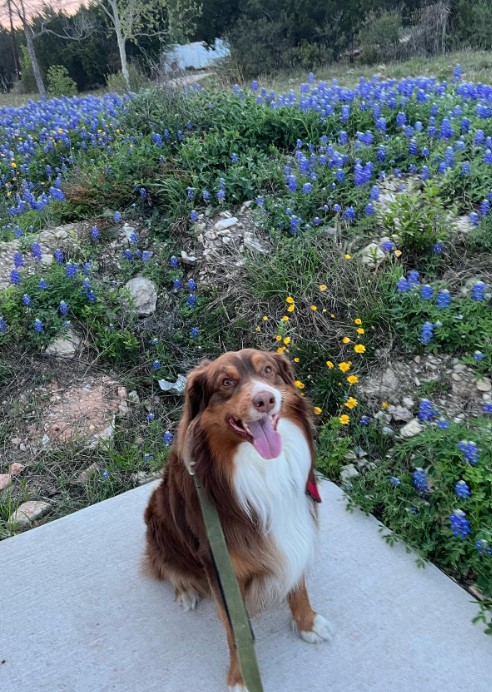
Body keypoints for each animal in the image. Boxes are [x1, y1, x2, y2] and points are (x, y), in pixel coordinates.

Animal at [144, 348, 332, 688]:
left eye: (268, 370)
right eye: (226, 382)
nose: (265, 400)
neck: (261, 467)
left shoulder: (295, 527)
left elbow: (298, 584)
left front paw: (308, 623)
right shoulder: (219, 567)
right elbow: (235, 630)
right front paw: (240, 676)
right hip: (156, 516)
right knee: (163, 565)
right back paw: (185, 591)